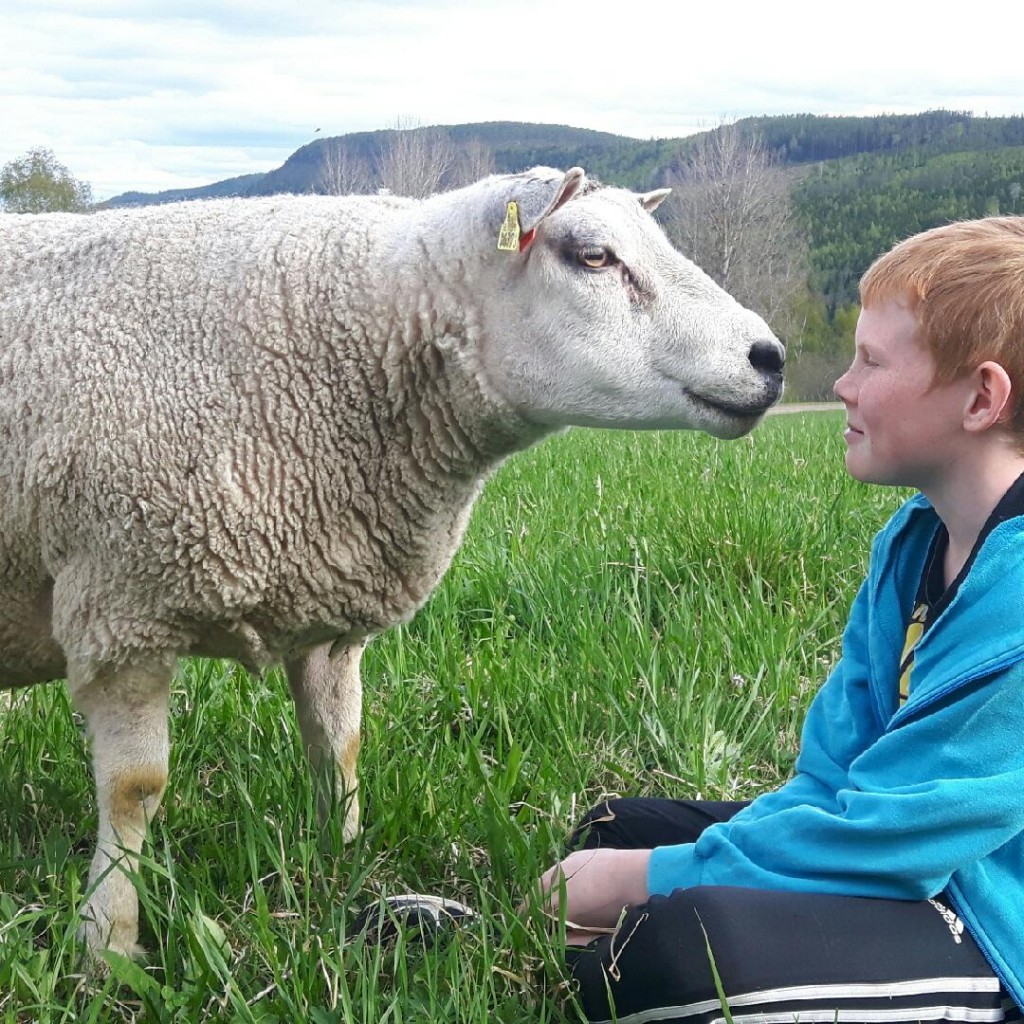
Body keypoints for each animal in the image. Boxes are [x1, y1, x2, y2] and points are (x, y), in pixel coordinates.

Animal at [0, 163, 782, 954]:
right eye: (592, 255)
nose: (771, 358)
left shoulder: (327, 603)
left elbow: (339, 747)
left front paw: (338, 863)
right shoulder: (122, 609)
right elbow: (135, 790)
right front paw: (108, 941)